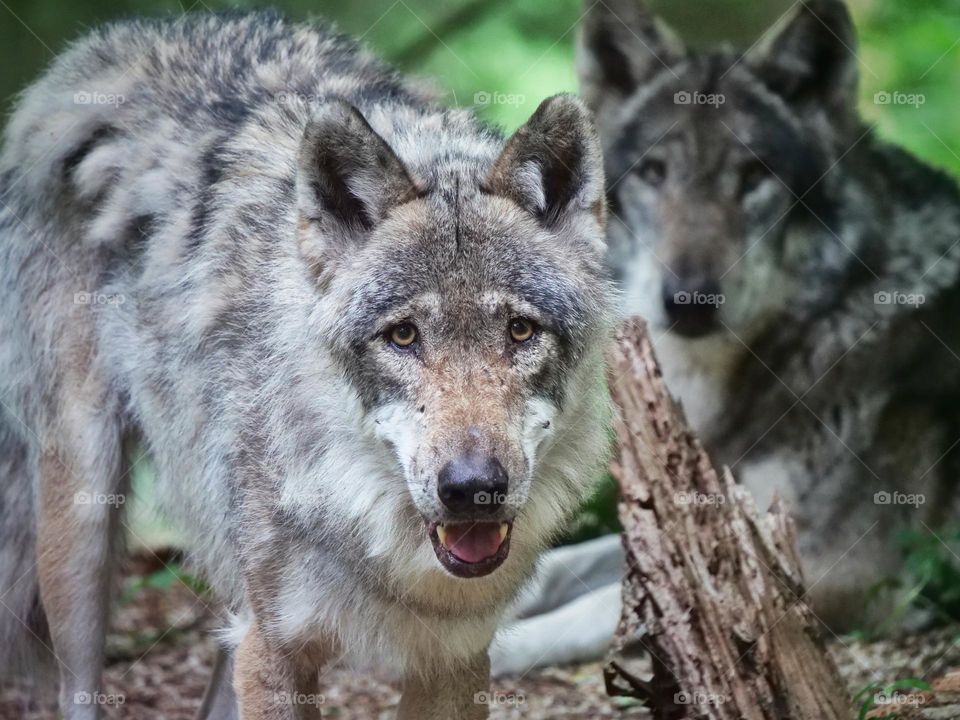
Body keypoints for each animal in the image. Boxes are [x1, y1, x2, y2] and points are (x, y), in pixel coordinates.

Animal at [0, 13, 615, 719]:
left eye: (520, 331)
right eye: (402, 336)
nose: (472, 489)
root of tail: (127, 32)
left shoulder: (453, 662)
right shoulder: (276, 651)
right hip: (82, 521)